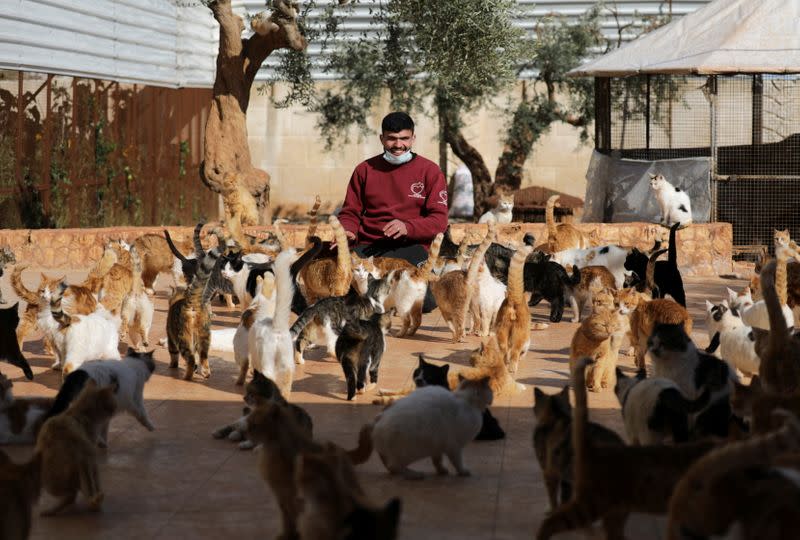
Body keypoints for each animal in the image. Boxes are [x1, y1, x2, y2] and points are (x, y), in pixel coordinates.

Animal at [350, 378, 494, 478]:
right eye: (490, 392)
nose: (492, 400)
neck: (466, 400)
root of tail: (376, 420)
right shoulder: (454, 447)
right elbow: (458, 463)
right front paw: (463, 472)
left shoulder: (438, 446)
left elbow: (437, 461)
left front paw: (442, 471)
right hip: (408, 452)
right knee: (395, 466)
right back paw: (413, 474)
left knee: (389, 465)